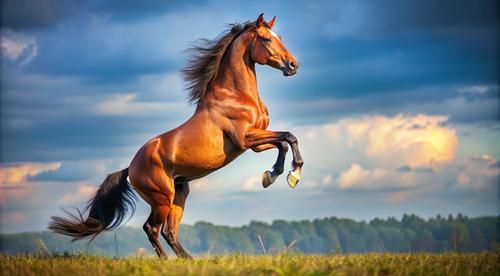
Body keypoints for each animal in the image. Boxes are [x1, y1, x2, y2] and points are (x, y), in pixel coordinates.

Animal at [47, 13, 304, 258]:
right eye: (266, 39)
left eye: (279, 37)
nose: (293, 65)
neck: (235, 94)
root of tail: (130, 168)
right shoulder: (245, 138)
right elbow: (289, 136)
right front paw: (289, 175)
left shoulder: (256, 142)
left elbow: (284, 141)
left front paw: (274, 174)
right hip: (162, 197)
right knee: (152, 229)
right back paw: (167, 261)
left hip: (180, 193)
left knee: (169, 231)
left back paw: (188, 260)